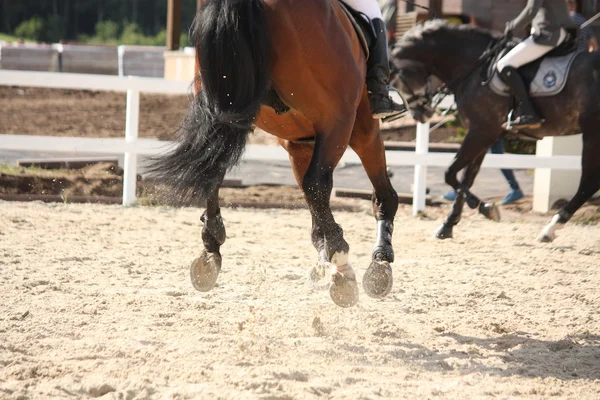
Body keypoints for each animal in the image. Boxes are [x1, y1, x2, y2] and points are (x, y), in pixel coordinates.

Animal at [150, 0, 398, 308]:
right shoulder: (358, 129)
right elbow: (373, 194)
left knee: (213, 169)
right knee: (322, 183)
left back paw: (211, 249)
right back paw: (344, 266)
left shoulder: (299, 143)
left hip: (226, 110)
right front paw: (377, 264)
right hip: (340, 122)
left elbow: (316, 200)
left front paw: (324, 255)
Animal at [394, 20, 600, 242]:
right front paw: (448, 225)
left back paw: (550, 228)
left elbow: (450, 174)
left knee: (589, 182)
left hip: (592, 134)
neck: (473, 67)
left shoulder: (481, 132)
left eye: (397, 78)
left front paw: (484, 207)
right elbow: (466, 178)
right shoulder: (485, 135)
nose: (420, 114)